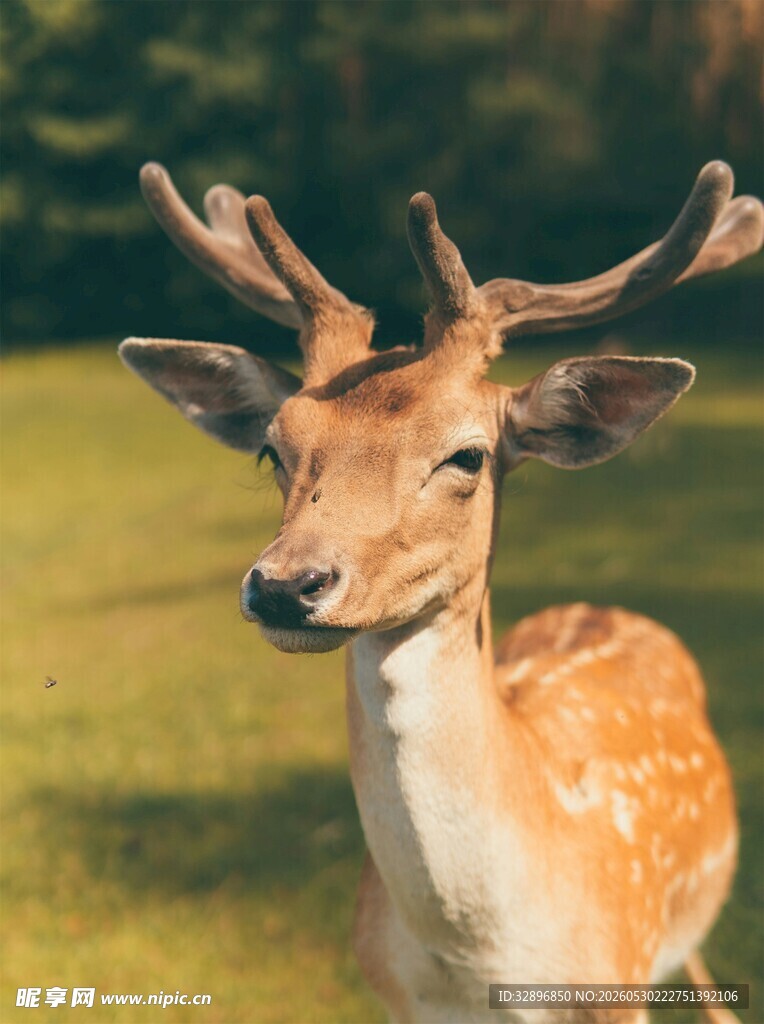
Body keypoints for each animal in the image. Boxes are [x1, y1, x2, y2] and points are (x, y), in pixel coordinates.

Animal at [120, 160, 763, 1024]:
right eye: (271, 449)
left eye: (468, 455)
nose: (288, 584)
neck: (481, 962)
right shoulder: (395, 995)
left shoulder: (618, 980)